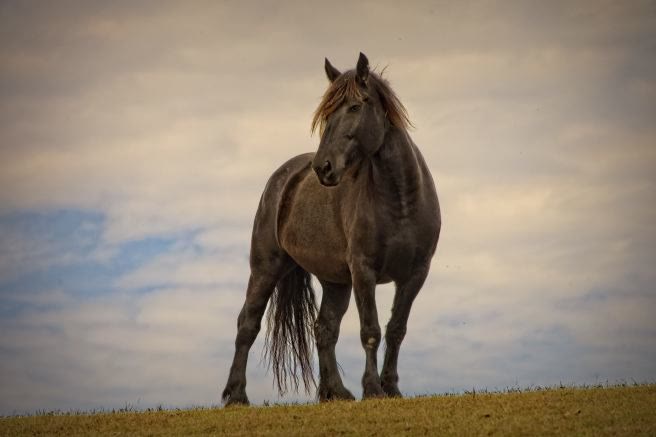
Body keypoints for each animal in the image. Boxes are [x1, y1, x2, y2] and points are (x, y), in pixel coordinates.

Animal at [222, 53, 441, 405]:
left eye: (355, 106)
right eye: (326, 114)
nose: (323, 168)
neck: (400, 200)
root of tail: (285, 176)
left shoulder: (415, 274)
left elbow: (396, 329)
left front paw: (391, 388)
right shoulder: (363, 270)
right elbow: (371, 331)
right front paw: (372, 389)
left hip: (336, 282)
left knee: (324, 329)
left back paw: (335, 392)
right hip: (266, 269)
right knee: (248, 324)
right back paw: (237, 395)